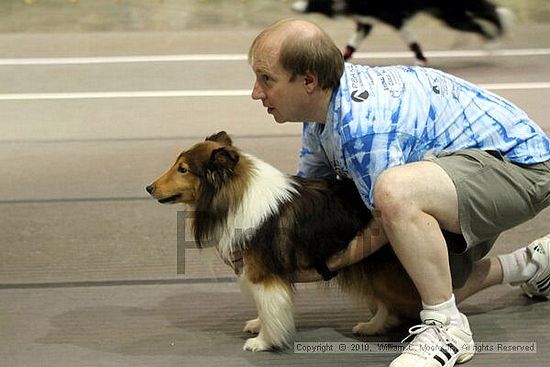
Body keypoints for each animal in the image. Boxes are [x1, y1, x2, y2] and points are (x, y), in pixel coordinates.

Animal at [147, 133, 422, 354]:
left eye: (183, 169)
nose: (149, 187)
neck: (234, 198)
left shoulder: (264, 275)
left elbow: (270, 307)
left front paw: (263, 342)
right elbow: (264, 308)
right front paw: (257, 325)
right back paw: (372, 326)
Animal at [292, 0, 516, 62]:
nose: (294, 7)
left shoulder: (396, 19)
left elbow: (413, 43)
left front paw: (421, 61)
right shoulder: (366, 22)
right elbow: (350, 47)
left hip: (451, 14)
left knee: (482, 21)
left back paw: (492, 45)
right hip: (449, 14)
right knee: (485, 14)